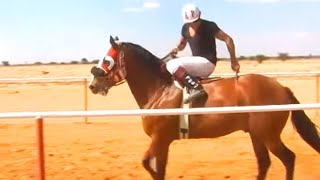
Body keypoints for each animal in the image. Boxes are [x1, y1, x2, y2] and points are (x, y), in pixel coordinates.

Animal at [88, 35, 320, 179]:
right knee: (264, 163)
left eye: (107, 60)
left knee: (289, 159)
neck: (160, 90)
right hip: (257, 135)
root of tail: (281, 87)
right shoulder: (164, 142)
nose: (92, 84)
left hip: (269, 135)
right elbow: (159, 170)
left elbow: (147, 163)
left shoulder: (159, 138)